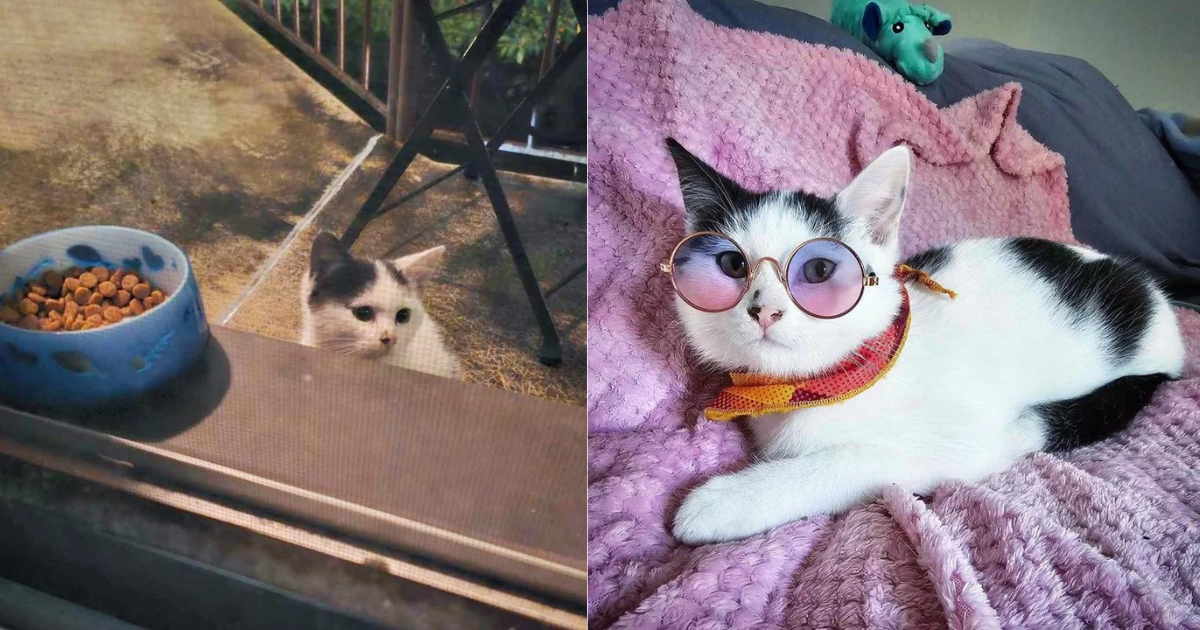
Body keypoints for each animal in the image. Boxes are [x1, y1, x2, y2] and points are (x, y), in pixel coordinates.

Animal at [672, 139, 1185, 542]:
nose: (765, 311)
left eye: (818, 270)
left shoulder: (968, 438)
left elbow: (852, 460)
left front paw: (724, 501)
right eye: (732, 266)